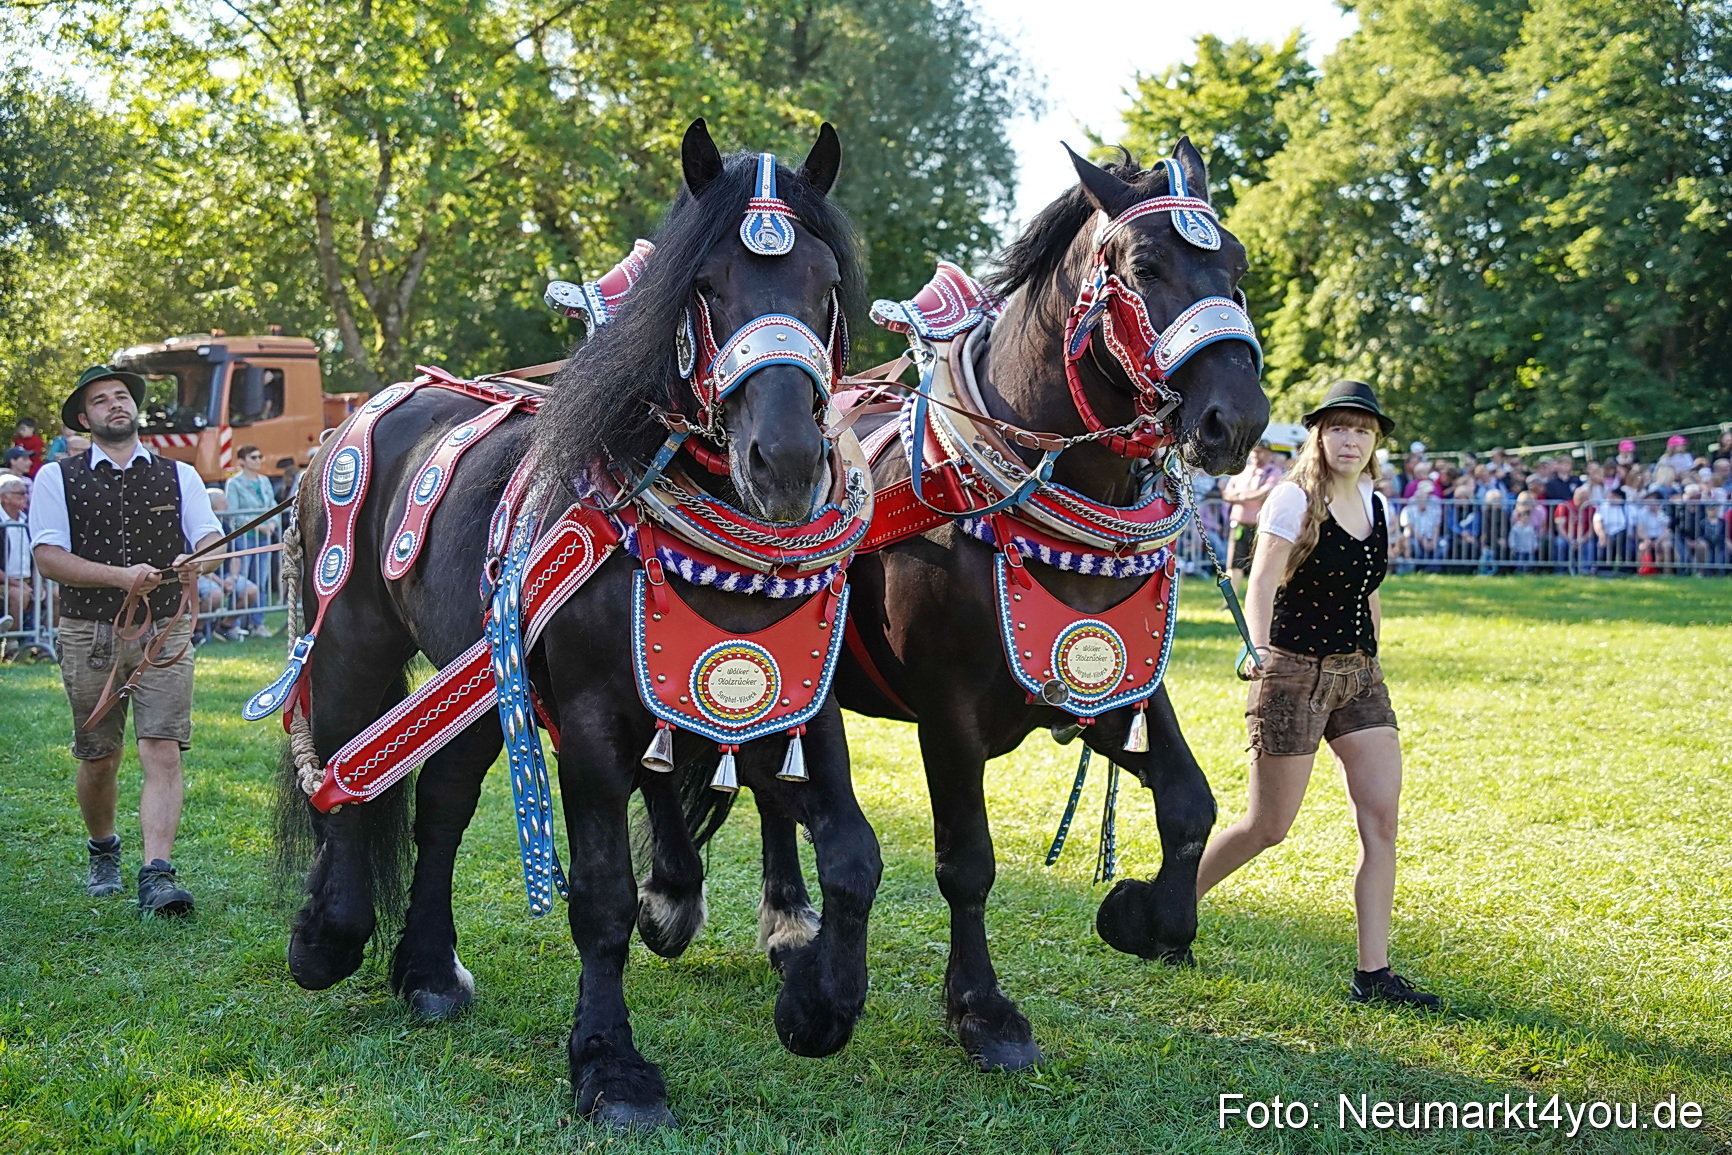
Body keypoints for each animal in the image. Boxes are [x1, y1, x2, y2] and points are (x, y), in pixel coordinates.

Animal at [273, 120, 882, 1129]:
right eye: (703, 284)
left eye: (827, 284)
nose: (788, 462)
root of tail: (362, 412)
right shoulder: (595, 722)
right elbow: (600, 897)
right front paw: (611, 1064)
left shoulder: (795, 700)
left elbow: (852, 853)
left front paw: (817, 1004)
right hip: (355, 634)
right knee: (346, 769)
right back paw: (329, 932)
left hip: (481, 681)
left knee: (441, 801)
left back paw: (426, 967)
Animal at [805, 141, 1270, 1069]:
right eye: (1146, 265)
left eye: (1236, 267)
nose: (1234, 419)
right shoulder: (947, 711)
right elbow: (967, 861)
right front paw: (981, 1009)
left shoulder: (1113, 681)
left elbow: (1190, 800)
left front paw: (1146, 916)